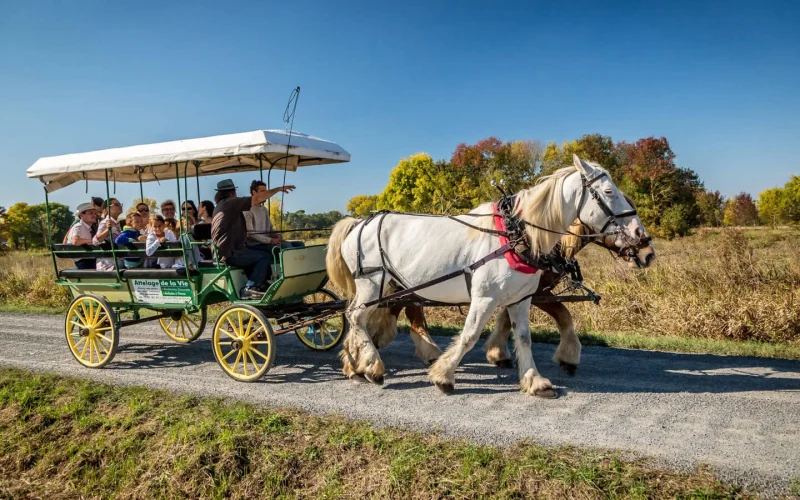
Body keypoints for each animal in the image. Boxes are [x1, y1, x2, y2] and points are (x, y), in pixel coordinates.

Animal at [324, 154, 644, 396]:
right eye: (609, 192)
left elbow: (524, 337)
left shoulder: (522, 298)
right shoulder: (485, 297)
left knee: (363, 318)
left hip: (391, 285)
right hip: (372, 283)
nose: (640, 235)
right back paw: (372, 366)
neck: (517, 233)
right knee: (356, 317)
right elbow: (469, 335)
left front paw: (534, 380)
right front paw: (443, 375)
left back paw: (355, 365)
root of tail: (360, 222)